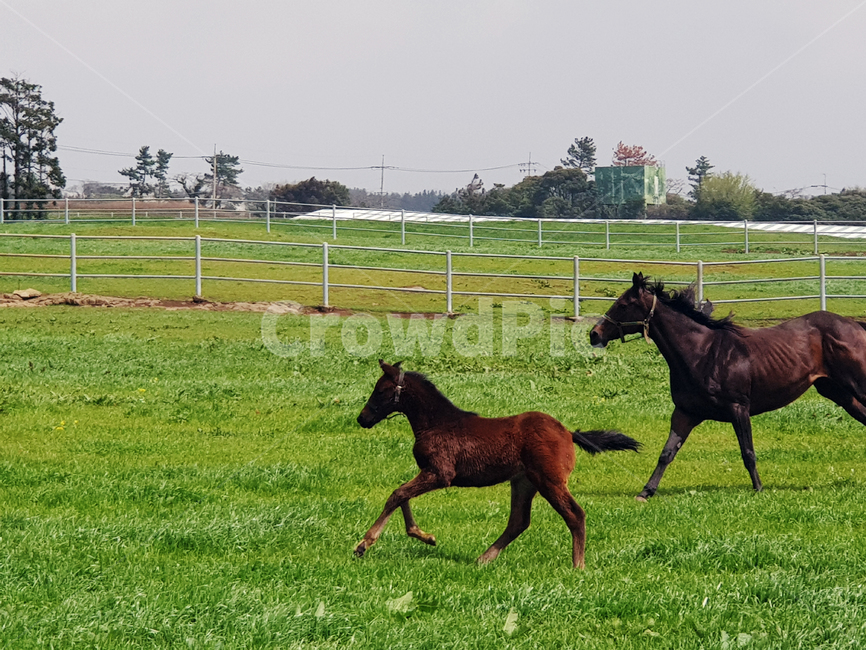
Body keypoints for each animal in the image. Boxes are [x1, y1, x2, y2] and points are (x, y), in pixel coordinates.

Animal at [354, 360, 640, 568]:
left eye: (381, 391)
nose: (362, 418)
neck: (437, 423)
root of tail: (569, 433)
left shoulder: (441, 473)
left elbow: (397, 493)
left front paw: (364, 543)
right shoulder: (429, 472)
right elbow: (403, 494)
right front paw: (425, 536)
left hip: (549, 480)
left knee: (575, 514)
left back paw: (578, 565)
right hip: (524, 481)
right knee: (519, 521)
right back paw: (484, 558)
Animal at [589, 272, 866, 501]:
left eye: (623, 304)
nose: (594, 333)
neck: (703, 353)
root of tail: (856, 326)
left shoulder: (738, 408)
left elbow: (748, 452)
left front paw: (759, 489)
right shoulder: (685, 413)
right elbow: (667, 453)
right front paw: (646, 491)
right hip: (839, 393)